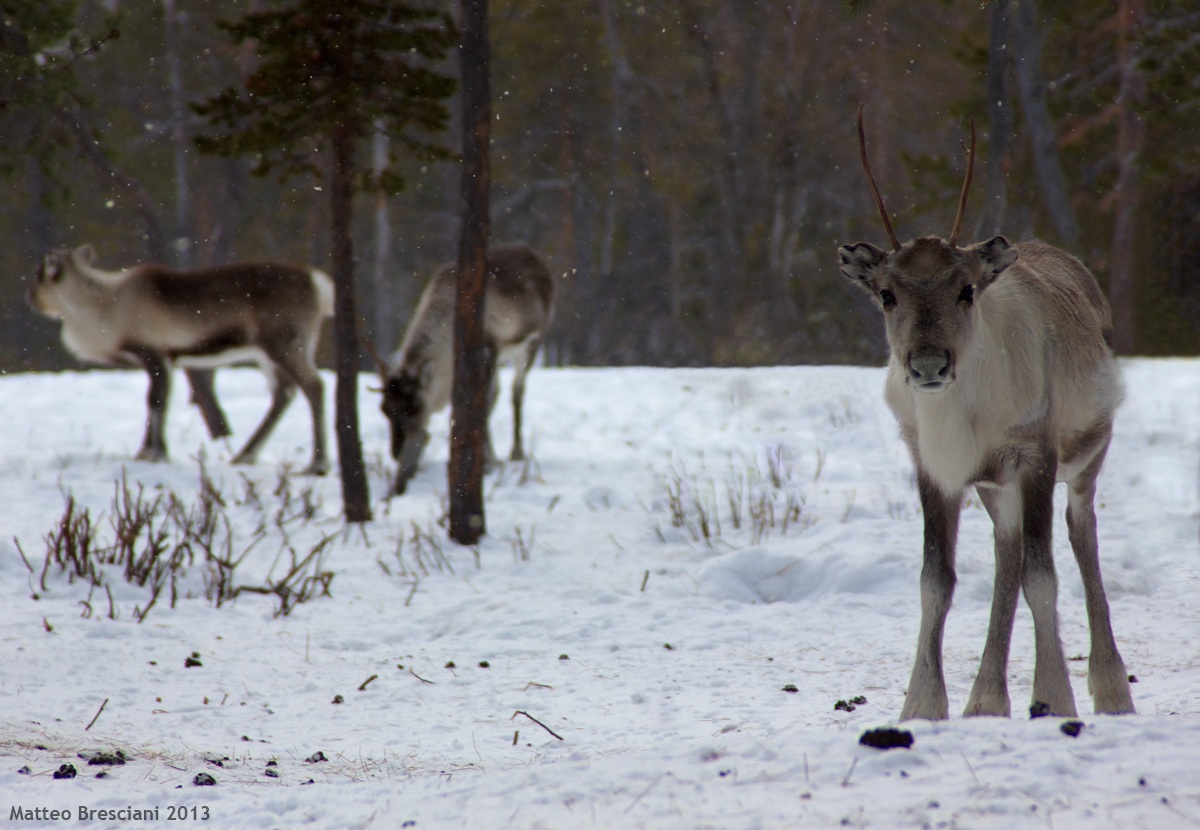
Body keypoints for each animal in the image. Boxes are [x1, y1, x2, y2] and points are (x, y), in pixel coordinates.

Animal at [28, 244, 333, 475]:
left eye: (40, 275)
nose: (30, 299)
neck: (103, 308)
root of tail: (320, 285)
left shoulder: (154, 354)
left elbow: (156, 402)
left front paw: (154, 454)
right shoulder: (165, 361)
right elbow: (156, 402)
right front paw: (149, 452)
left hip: (286, 345)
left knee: (314, 386)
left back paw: (317, 464)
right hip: (267, 355)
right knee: (285, 393)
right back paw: (244, 455)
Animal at [376, 244, 555, 496]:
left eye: (416, 407)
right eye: (384, 409)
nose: (396, 452)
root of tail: (536, 257)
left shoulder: (488, 350)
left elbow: (482, 404)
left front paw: (488, 464)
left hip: (531, 343)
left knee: (517, 391)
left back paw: (516, 453)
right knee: (501, 392)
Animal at [836, 107, 1135, 721]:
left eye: (966, 289)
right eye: (887, 294)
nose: (928, 364)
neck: (958, 422)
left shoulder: (1034, 454)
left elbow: (1044, 576)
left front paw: (1055, 699)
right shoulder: (935, 467)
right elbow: (935, 580)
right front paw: (922, 706)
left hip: (1086, 455)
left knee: (1081, 535)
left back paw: (1111, 689)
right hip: (996, 488)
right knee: (1007, 553)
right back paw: (986, 700)